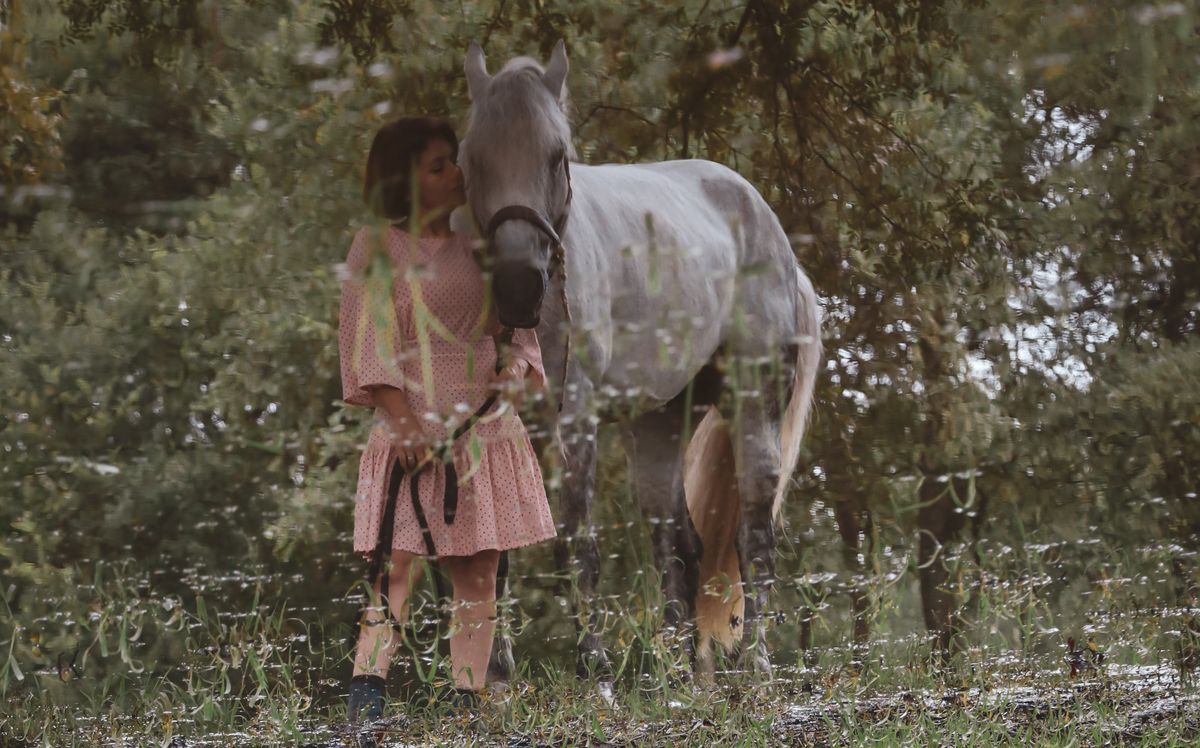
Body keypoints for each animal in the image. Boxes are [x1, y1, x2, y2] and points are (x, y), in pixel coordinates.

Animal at [460, 42, 825, 677]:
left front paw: (595, 669)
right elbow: (497, 547)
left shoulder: (574, 417)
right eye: (474, 157)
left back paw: (755, 666)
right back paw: (684, 676)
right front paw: (495, 676)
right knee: (679, 547)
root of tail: (774, 235)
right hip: (658, 424)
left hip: (754, 405)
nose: (518, 285)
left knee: (753, 536)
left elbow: (576, 542)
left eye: (557, 157)